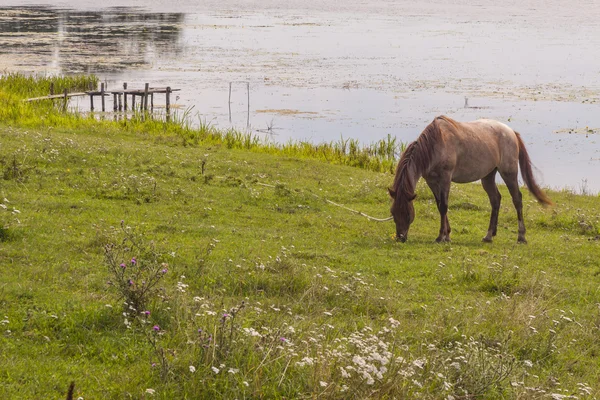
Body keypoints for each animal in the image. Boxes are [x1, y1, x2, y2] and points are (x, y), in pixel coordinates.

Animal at [390, 115, 552, 244]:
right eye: (393, 213)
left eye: (408, 214)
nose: (400, 237)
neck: (436, 145)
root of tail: (511, 132)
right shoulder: (431, 181)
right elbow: (439, 205)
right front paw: (447, 234)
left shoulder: (445, 179)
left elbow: (444, 206)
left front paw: (442, 237)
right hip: (488, 176)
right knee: (495, 200)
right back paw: (489, 235)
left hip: (509, 173)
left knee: (517, 199)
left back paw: (521, 236)